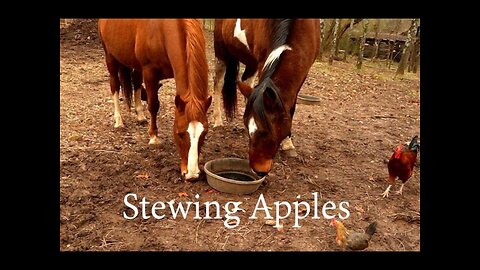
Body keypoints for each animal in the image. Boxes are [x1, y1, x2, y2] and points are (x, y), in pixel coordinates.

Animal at [99, 19, 212, 180]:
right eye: (180, 133)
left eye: (205, 133)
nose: (191, 175)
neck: (162, 30)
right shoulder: (150, 72)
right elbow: (153, 105)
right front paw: (153, 137)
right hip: (110, 56)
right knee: (115, 84)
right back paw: (118, 121)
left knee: (136, 81)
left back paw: (140, 116)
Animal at [213, 18, 318, 175]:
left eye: (267, 130)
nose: (258, 170)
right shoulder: (262, 59)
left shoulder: (303, 74)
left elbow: (292, 107)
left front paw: (288, 144)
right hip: (221, 52)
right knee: (218, 84)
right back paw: (217, 120)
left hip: (250, 61)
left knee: (247, 81)